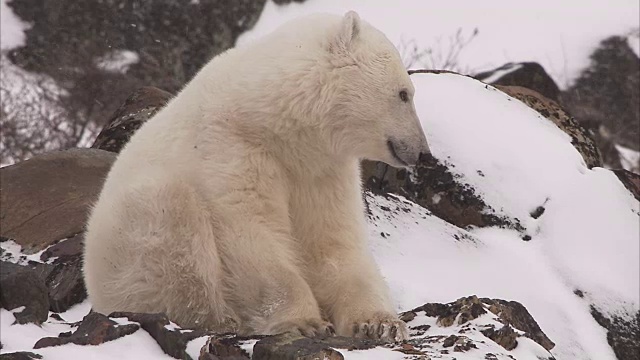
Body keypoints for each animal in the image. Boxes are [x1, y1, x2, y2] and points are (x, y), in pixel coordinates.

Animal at [81, 11, 430, 344]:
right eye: (404, 93)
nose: (422, 151)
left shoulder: (321, 170)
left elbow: (332, 241)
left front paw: (379, 323)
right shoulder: (231, 146)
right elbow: (252, 231)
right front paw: (306, 323)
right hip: (127, 253)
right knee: (173, 220)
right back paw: (223, 318)